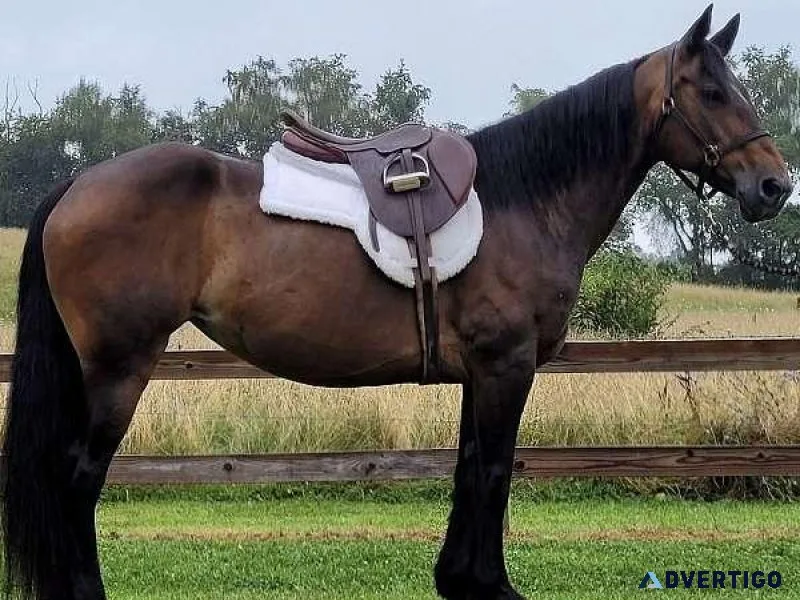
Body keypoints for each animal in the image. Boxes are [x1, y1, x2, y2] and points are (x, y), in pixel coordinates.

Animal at [2, 5, 793, 600]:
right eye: (712, 93)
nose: (774, 186)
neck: (523, 199)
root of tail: (78, 184)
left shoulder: (483, 373)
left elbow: (470, 467)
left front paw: (461, 581)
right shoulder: (507, 367)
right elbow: (493, 470)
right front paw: (491, 586)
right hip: (119, 370)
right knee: (76, 482)